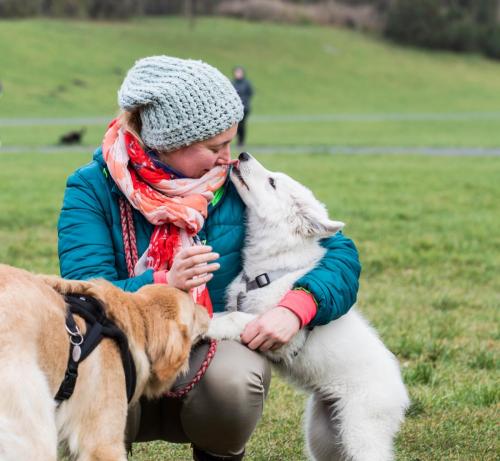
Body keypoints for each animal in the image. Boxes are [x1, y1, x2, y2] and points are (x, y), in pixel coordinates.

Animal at [207, 152, 410, 460]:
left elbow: (236, 318)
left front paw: (207, 324)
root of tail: (402, 394)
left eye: (272, 182)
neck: (268, 270)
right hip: (323, 433)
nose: (242, 155)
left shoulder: (277, 332)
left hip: (362, 429)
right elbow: (229, 312)